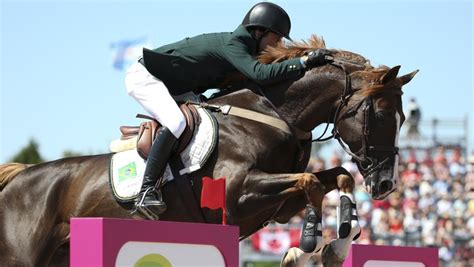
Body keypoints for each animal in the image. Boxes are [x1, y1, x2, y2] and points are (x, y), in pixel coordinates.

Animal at [0, 36, 416, 267]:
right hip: (21, 257)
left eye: (403, 117)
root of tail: (18, 179)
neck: (274, 113)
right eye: (381, 115)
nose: (385, 185)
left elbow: (337, 177)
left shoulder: (279, 207)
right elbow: (311, 181)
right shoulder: (237, 195)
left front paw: (335, 244)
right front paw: (308, 242)